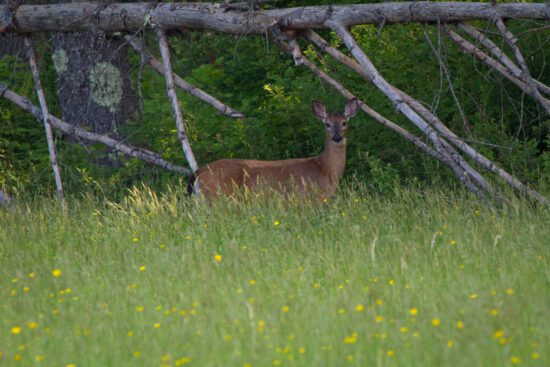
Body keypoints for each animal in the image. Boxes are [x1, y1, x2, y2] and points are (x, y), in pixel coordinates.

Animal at [189, 98, 362, 200]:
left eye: (344, 122)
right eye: (327, 124)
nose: (337, 138)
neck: (326, 170)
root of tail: (199, 172)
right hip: (218, 198)